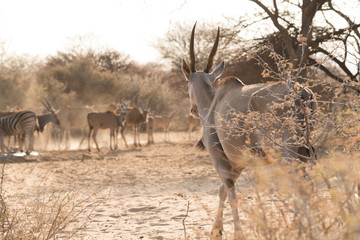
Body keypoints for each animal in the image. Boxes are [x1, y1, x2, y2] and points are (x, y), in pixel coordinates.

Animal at [181, 23, 320, 238]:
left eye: (187, 82)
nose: (192, 109)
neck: (213, 103)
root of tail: (302, 92)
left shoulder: (220, 161)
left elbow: (231, 194)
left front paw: (237, 232)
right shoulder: (238, 164)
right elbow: (222, 191)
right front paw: (216, 229)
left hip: (286, 153)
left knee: (299, 183)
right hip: (307, 150)